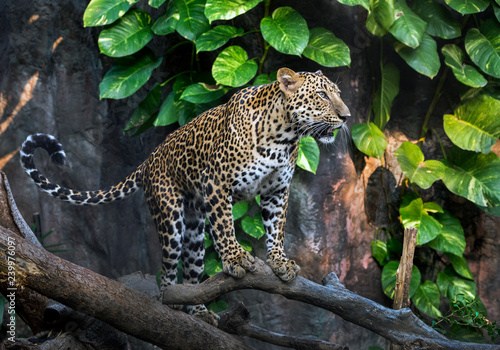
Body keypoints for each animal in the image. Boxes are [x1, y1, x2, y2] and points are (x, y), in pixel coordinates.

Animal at [18, 67, 348, 326]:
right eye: (322, 95)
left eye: (337, 93)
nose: (346, 116)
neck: (284, 137)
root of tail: (150, 160)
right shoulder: (217, 183)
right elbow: (226, 226)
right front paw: (236, 258)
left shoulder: (276, 192)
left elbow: (276, 229)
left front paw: (280, 262)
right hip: (170, 219)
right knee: (166, 274)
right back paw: (172, 301)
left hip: (194, 230)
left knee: (192, 275)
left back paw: (199, 311)